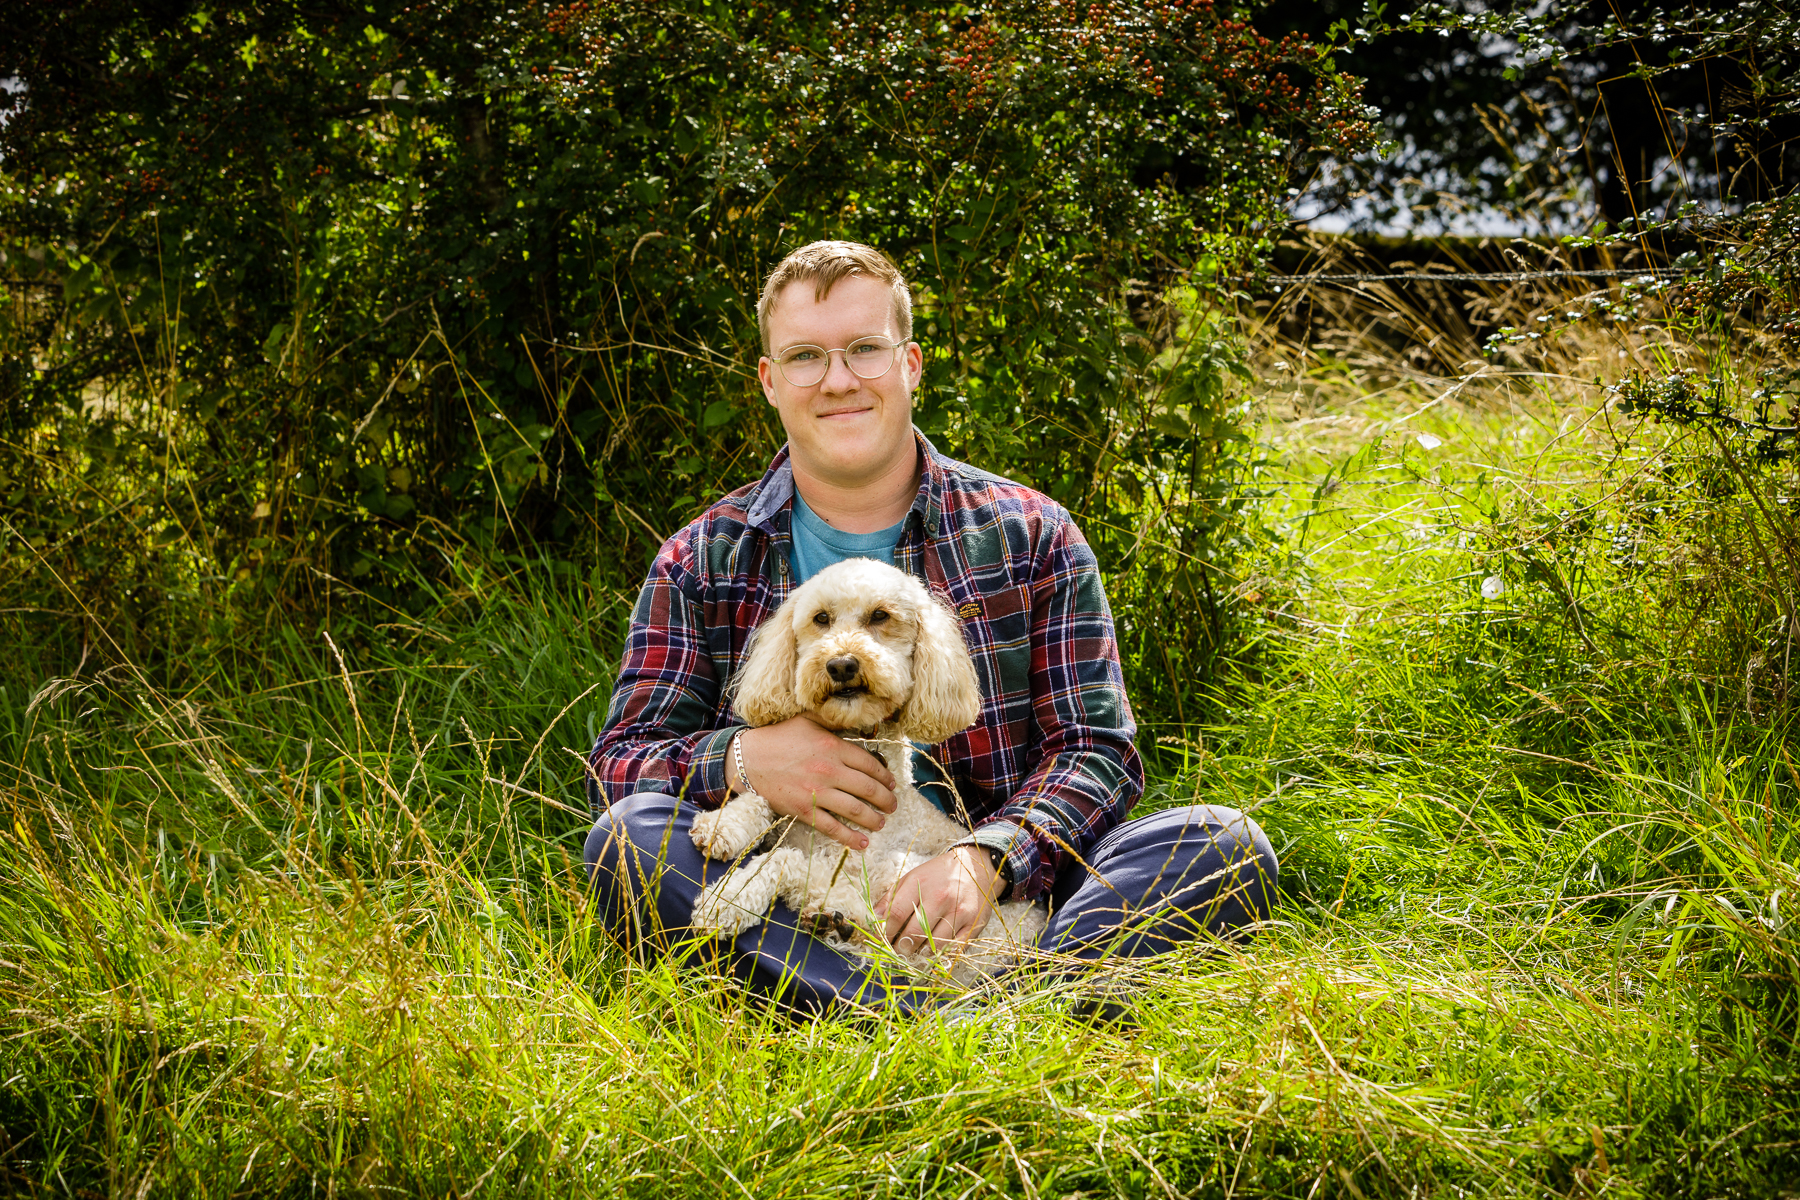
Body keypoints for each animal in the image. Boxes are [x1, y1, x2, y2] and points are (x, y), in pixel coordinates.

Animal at [688, 557, 1048, 983]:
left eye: (880, 616)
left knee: (870, 930)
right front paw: (723, 825)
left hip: (912, 890)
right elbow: (766, 796)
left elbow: (781, 860)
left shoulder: (861, 862)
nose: (841, 664)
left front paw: (728, 899)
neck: (858, 736)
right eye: (821, 618)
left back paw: (832, 918)